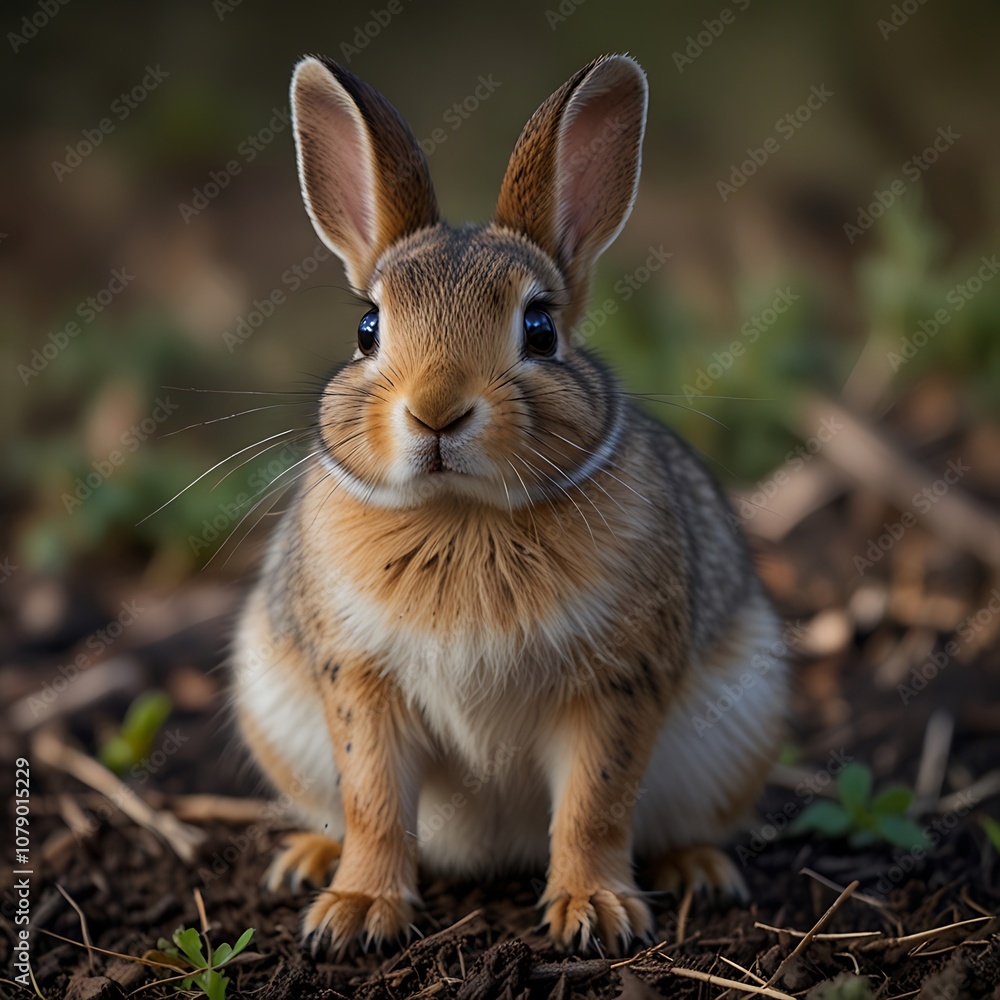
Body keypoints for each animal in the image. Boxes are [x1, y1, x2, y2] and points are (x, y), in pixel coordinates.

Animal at [231, 52, 789, 957]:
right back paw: (311, 860)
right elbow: (374, 801)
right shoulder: (360, 683)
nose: (436, 412)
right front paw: (356, 912)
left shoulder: (617, 684)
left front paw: (593, 911)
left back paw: (696, 870)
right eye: (367, 328)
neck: (462, 511)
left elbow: (594, 805)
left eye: (539, 330)